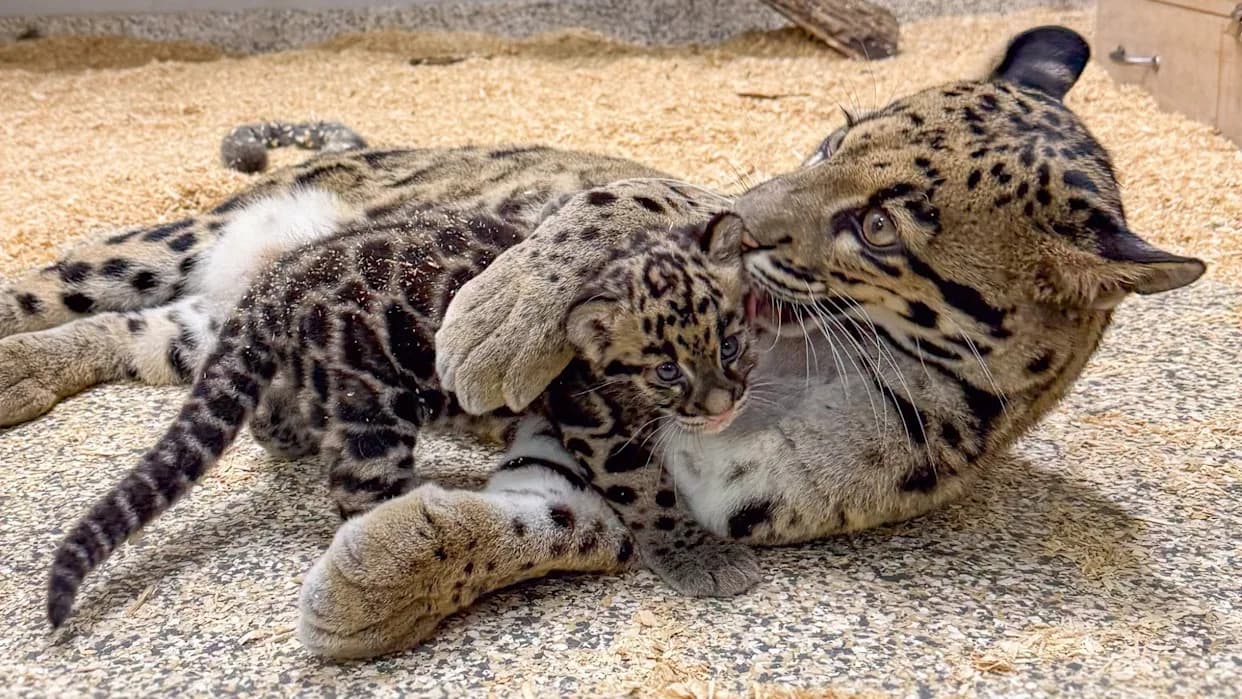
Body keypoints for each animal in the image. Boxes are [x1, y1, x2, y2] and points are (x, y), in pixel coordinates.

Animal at [46, 185, 759, 644]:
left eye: (730, 344)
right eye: (666, 370)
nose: (723, 405)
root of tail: (281, 276)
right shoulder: (592, 417)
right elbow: (645, 491)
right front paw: (698, 555)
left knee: (273, 418)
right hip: (373, 407)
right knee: (355, 488)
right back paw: (403, 526)